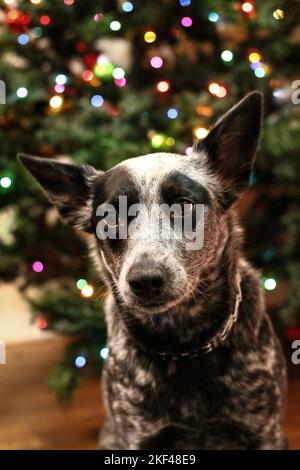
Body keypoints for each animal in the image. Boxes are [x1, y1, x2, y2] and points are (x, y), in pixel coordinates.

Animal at [17, 91, 288, 448]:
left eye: (184, 205)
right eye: (109, 217)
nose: (145, 280)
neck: (183, 346)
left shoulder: (266, 432)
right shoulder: (137, 436)